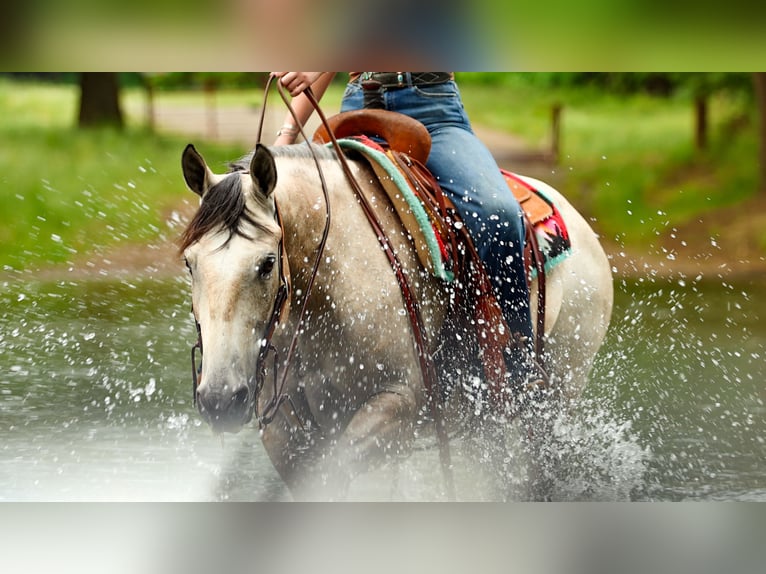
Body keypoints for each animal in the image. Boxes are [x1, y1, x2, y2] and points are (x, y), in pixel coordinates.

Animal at [179, 140, 613, 500]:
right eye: (189, 262)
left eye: (267, 263)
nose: (220, 399)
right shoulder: (284, 431)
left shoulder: (396, 406)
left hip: (557, 396)